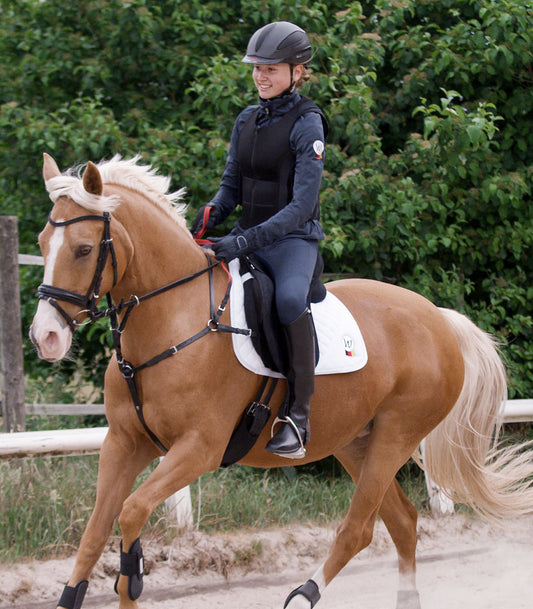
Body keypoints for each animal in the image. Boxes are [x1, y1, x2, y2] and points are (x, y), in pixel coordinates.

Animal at [30, 156, 532, 608]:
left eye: (83, 249)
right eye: (42, 242)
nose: (45, 337)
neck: (171, 322)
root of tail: (439, 319)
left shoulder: (198, 449)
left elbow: (131, 511)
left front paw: (132, 577)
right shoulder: (123, 442)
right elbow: (96, 529)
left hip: (396, 436)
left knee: (358, 529)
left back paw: (303, 595)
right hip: (356, 443)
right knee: (402, 523)